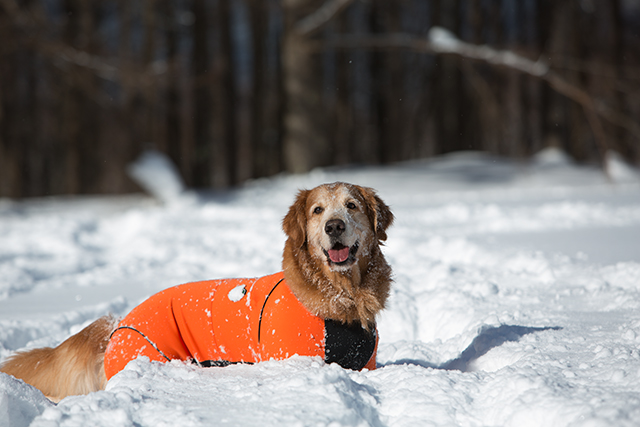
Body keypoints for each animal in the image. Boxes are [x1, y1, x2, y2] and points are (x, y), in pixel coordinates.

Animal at [0, 182, 392, 402]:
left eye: (352, 206)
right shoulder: (291, 360)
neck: (341, 299)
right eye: (317, 210)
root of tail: (115, 327)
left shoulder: (367, 363)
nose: (334, 226)